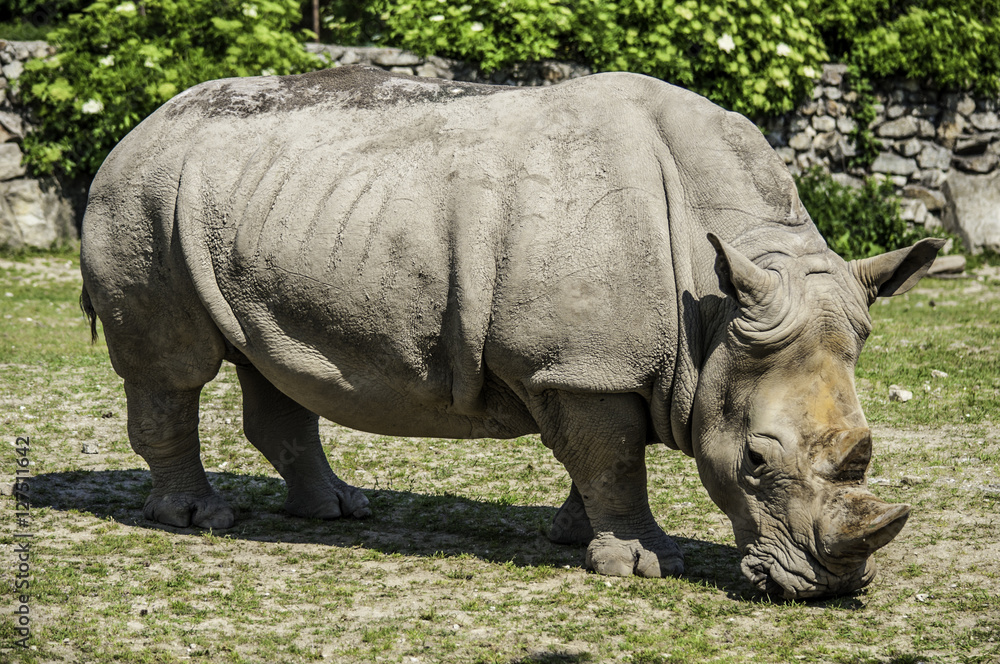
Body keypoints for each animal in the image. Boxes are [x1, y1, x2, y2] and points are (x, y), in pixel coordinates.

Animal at [80, 65, 943, 599]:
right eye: (757, 462)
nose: (829, 589)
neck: (714, 309)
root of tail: (134, 129)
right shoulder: (580, 364)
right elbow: (613, 455)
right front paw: (642, 564)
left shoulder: (592, 362)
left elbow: (598, 458)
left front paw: (574, 535)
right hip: (143, 198)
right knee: (173, 369)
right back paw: (200, 520)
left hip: (262, 210)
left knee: (272, 360)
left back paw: (337, 511)